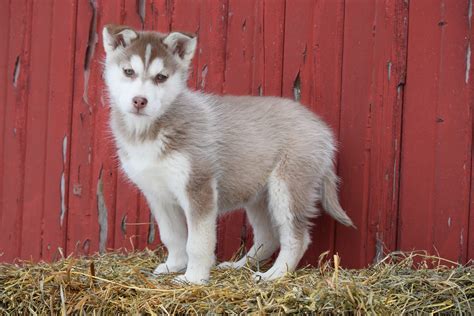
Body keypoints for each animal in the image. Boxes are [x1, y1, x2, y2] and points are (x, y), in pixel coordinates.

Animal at [103, 25, 352, 284]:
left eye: (161, 77)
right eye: (128, 72)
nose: (139, 101)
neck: (146, 131)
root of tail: (322, 128)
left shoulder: (198, 188)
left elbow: (197, 243)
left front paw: (193, 279)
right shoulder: (157, 194)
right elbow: (172, 236)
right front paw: (174, 265)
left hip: (288, 189)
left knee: (296, 238)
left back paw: (273, 275)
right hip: (259, 196)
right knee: (268, 237)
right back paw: (239, 266)